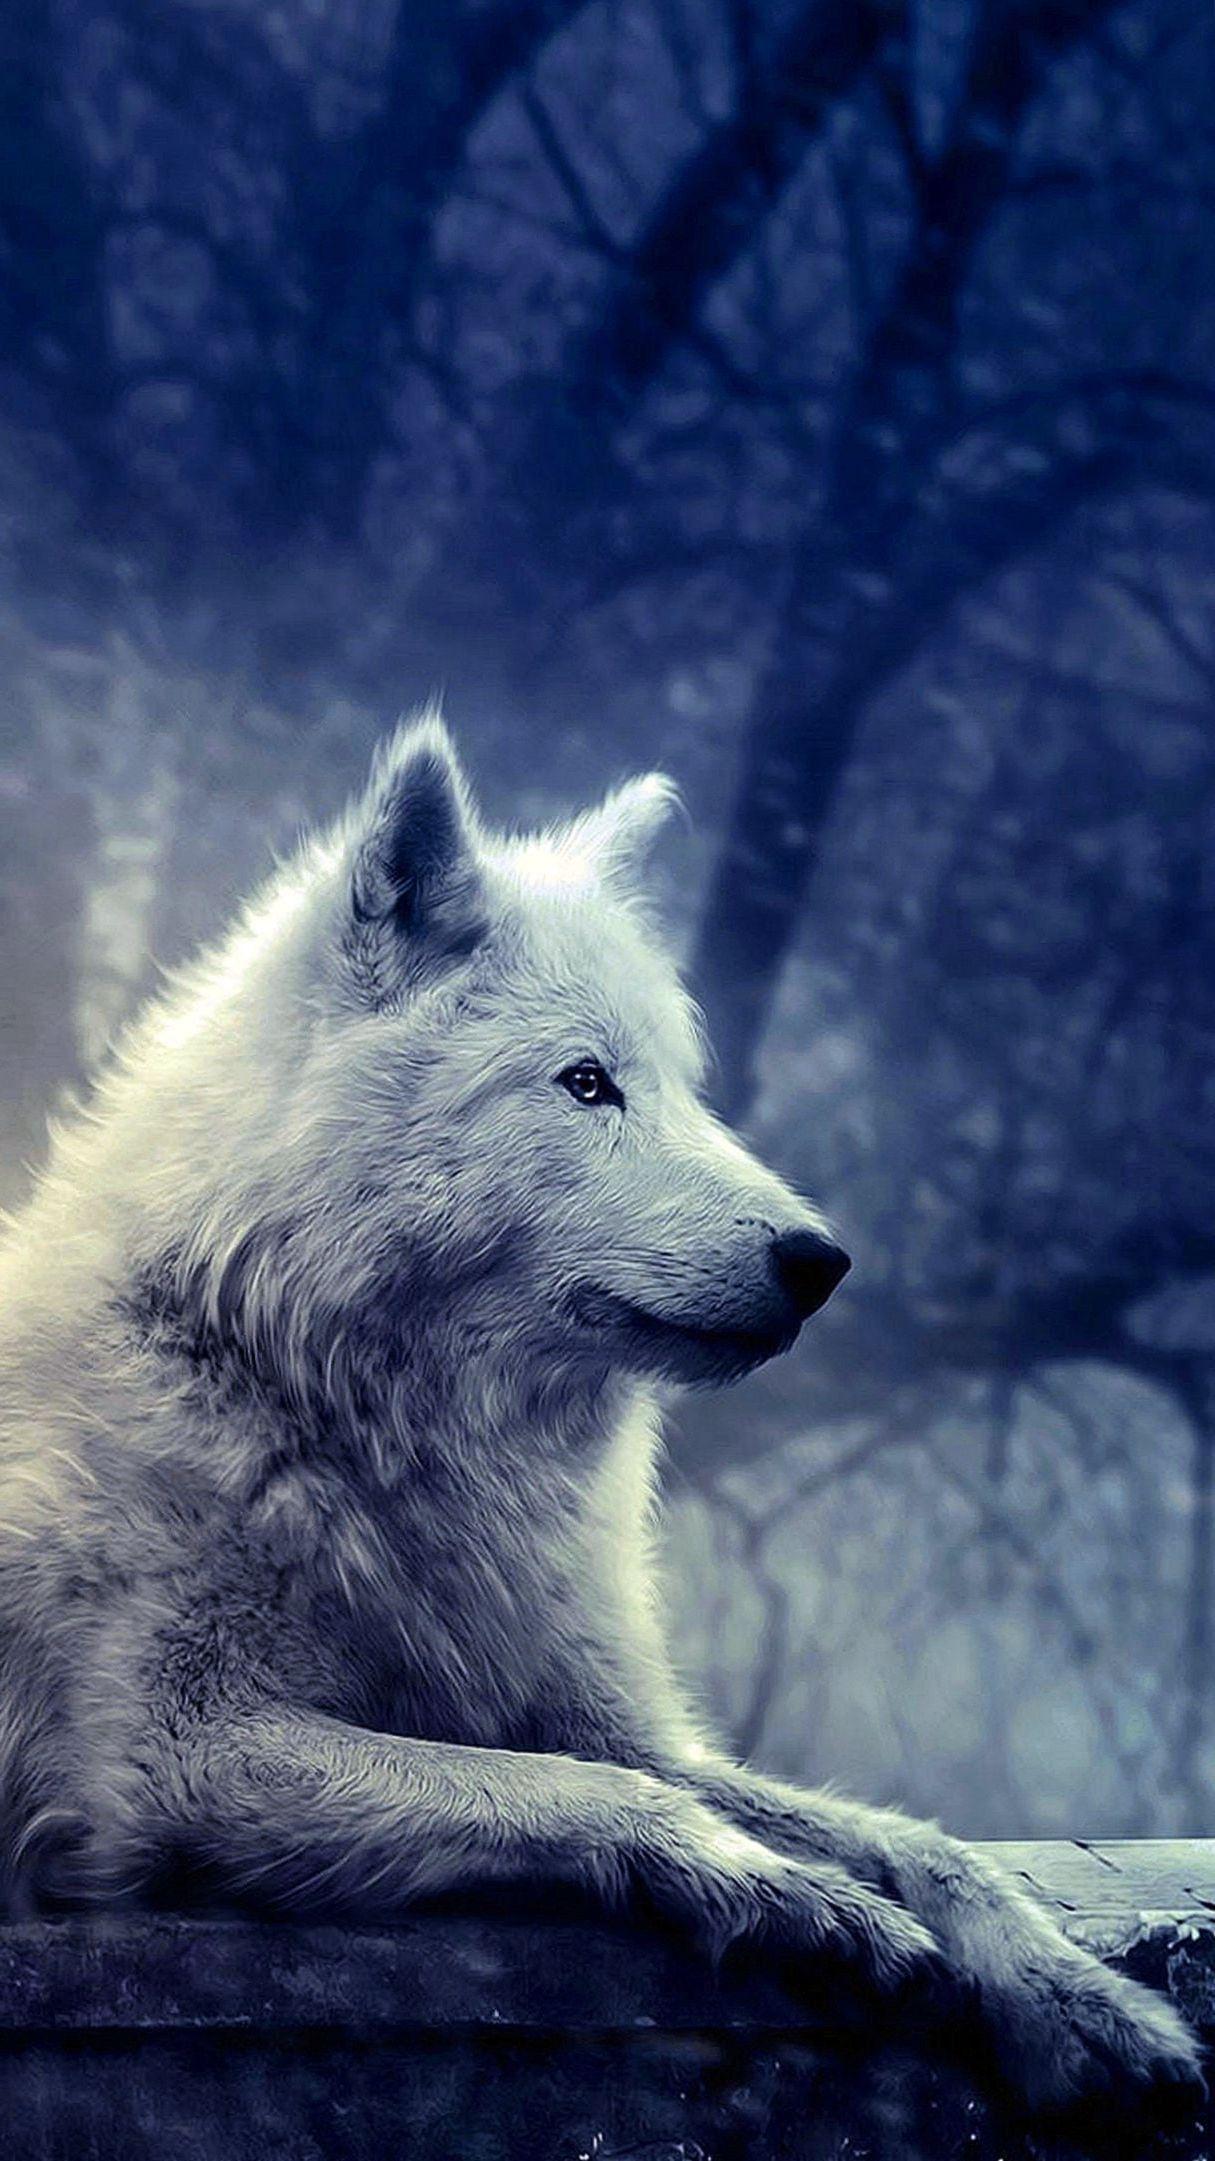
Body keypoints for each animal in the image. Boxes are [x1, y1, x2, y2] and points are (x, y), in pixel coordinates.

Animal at [0, 718, 1199, 2109]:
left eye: (682, 1087)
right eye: (585, 1083)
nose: (821, 1260)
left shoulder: (615, 1716)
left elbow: (916, 1840)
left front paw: (1081, 1997)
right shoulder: (167, 1759)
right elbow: (575, 1790)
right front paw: (783, 1890)